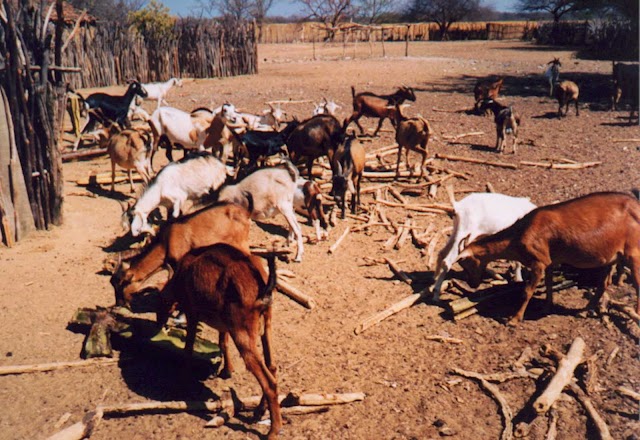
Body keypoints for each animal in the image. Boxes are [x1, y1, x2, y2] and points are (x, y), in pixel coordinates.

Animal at [111, 201, 251, 308]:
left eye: (122, 284)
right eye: (112, 283)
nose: (119, 304)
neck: (166, 242)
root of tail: (245, 213)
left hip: (241, 243)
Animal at [156, 242, 282, 438]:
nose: (159, 322)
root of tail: (263, 286)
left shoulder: (192, 313)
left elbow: (188, 349)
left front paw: (183, 381)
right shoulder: (225, 324)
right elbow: (223, 342)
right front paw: (227, 370)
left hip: (243, 333)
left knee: (268, 381)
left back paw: (273, 430)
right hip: (265, 326)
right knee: (272, 367)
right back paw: (259, 411)